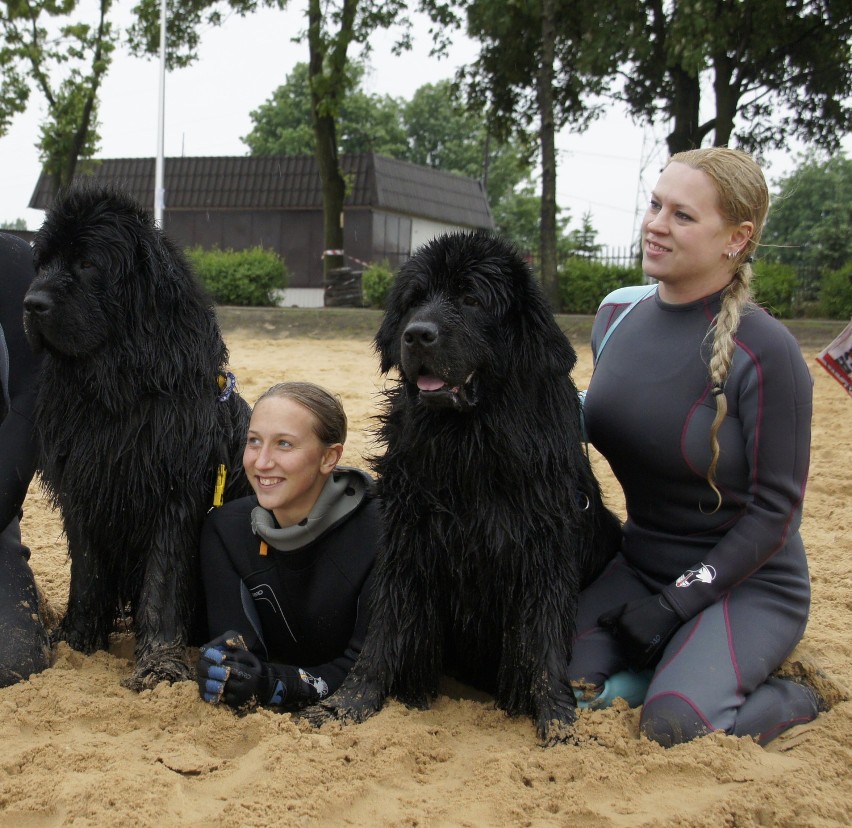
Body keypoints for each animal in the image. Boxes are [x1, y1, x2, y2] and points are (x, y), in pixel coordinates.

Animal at [22, 183, 250, 692]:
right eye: (41, 263)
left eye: (88, 263)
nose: (30, 303)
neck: (114, 398)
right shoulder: (83, 488)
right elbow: (87, 574)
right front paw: (77, 641)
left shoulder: (173, 491)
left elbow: (162, 583)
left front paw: (159, 666)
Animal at [310, 230, 624, 740]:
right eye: (415, 301)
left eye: (472, 300)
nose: (418, 334)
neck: (467, 448)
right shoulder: (409, 538)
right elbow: (385, 627)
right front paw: (348, 703)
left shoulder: (543, 548)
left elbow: (543, 639)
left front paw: (558, 719)